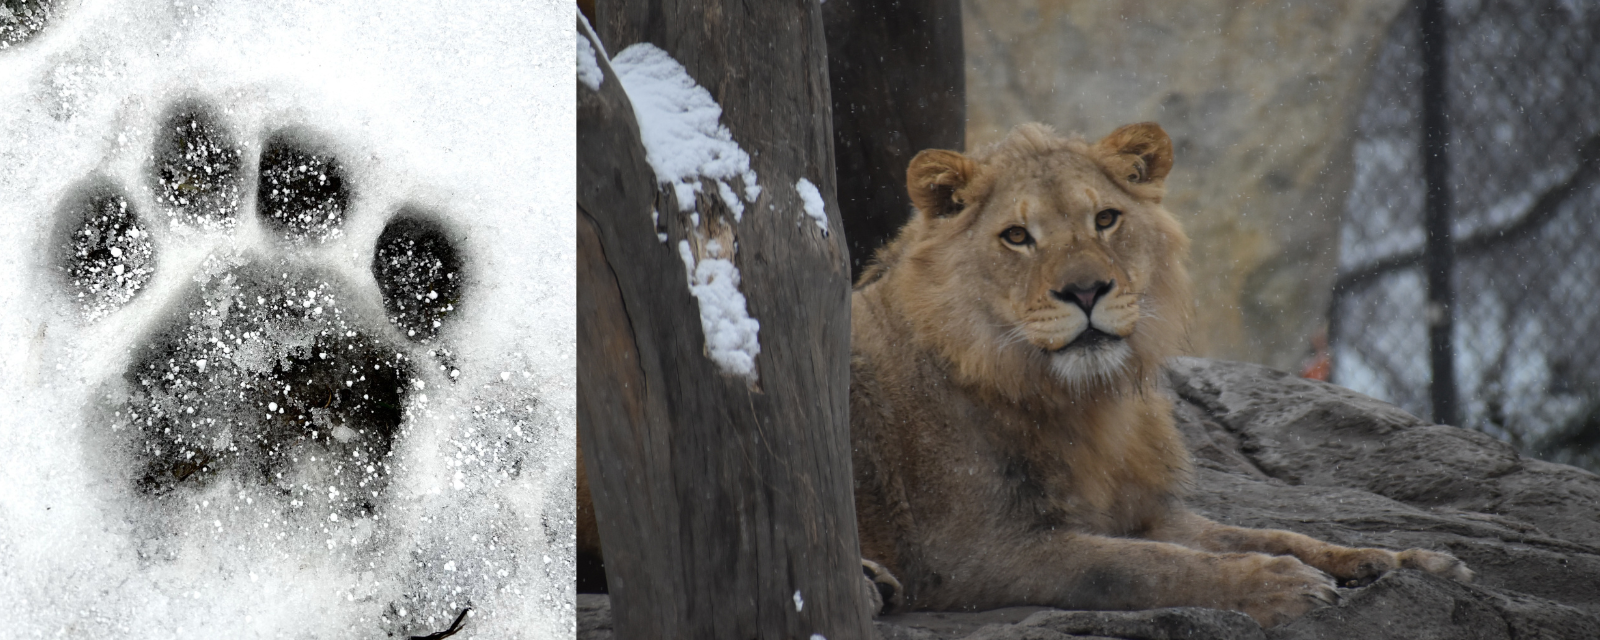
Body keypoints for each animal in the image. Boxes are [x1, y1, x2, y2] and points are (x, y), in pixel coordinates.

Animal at [857, 122, 1465, 627]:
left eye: (1105, 219)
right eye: (1016, 236)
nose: (1085, 291)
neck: (1086, 400)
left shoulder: (1148, 511)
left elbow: (1270, 533)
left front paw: (1398, 559)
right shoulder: (973, 551)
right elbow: (1136, 567)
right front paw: (1279, 583)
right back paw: (871, 584)